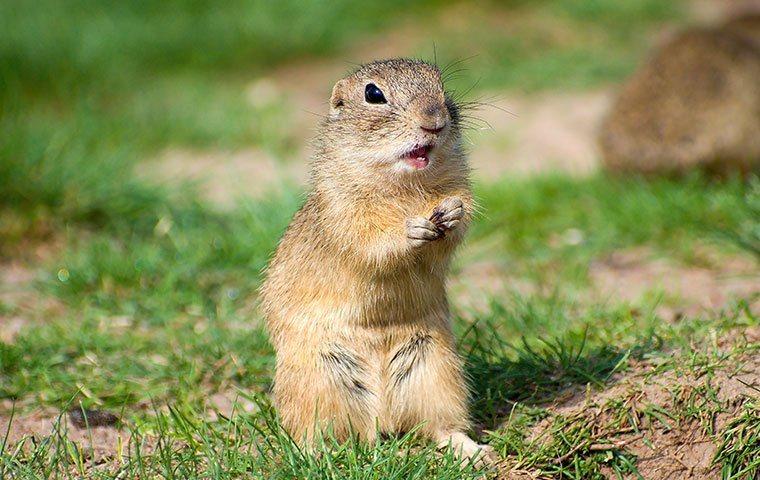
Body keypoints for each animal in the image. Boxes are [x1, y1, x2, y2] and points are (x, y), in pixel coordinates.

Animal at [258, 58, 492, 464]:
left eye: (441, 85)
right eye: (373, 94)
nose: (434, 121)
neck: (405, 186)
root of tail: (382, 417)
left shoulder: (458, 185)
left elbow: (455, 222)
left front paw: (451, 213)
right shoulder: (345, 211)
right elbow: (371, 239)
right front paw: (413, 228)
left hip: (437, 371)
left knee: (437, 425)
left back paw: (471, 449)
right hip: (316, 381)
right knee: (314, 431)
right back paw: (314, 455)